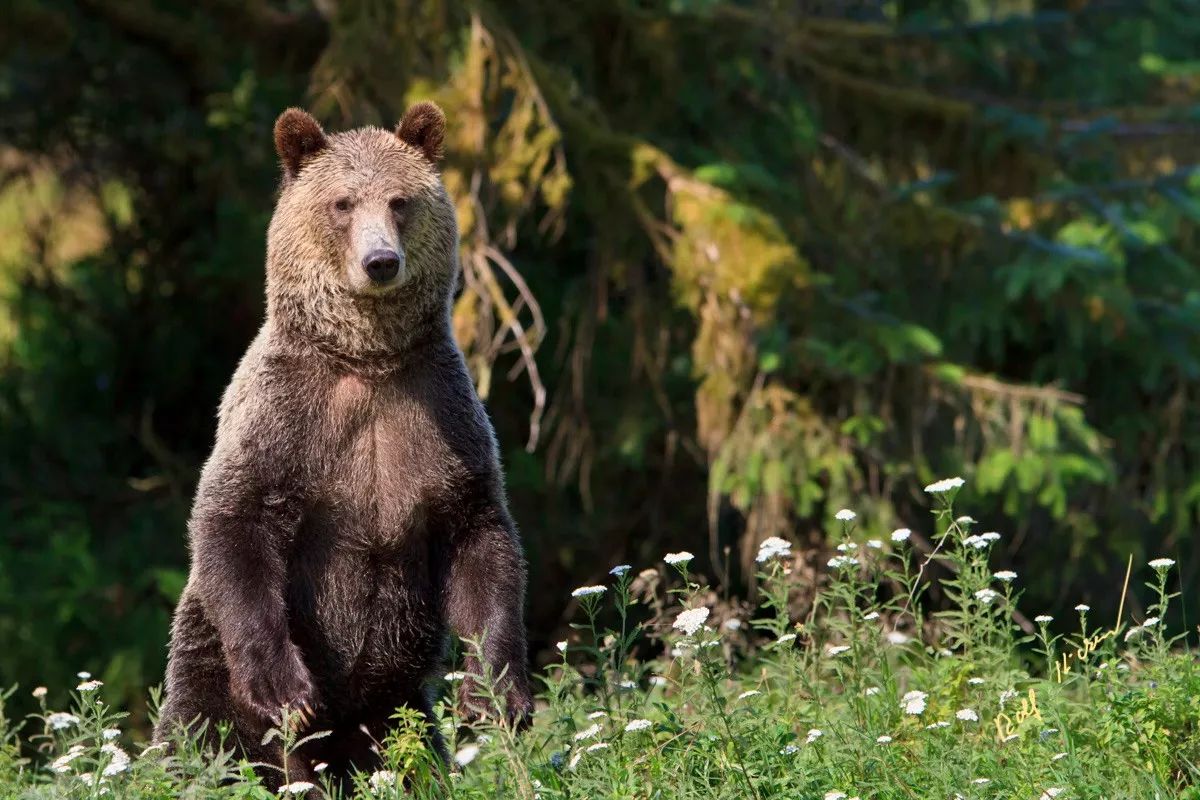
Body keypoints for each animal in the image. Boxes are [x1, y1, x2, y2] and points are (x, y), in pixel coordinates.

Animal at [157, 103, 532, 786]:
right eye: (342, 202)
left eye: (400, 201)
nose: (380, 260)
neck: (368, 360)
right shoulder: (287, 417)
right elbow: (235, 518)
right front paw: (286, 688)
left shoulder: (440, 419)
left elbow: (481, 538)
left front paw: (495, 695)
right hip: (204, 663)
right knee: (205, 735)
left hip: (394, 705)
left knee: (410, 754)